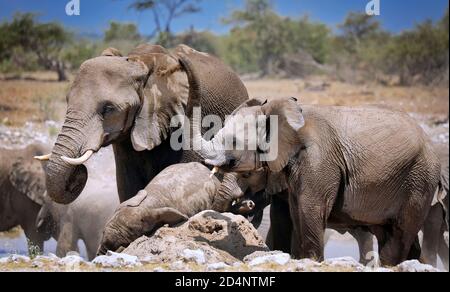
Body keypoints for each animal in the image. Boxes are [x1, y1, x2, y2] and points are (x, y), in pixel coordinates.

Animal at [37, 44, 250, 205]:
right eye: (67, 100)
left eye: (108, 109)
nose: (79, 173)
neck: (139, 61)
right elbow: (128, 186)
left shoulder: (188, 118)